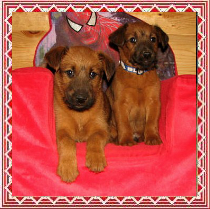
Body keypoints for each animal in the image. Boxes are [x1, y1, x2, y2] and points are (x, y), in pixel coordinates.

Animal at [44, 46, 115, 183]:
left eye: (92, 74)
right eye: (70, 72)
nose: (81, 99)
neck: (80, 115)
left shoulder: (101, 129)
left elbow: (95, 138)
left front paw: (96, 159)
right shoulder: (62, 129)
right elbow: (68, 142)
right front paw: (67, 168)